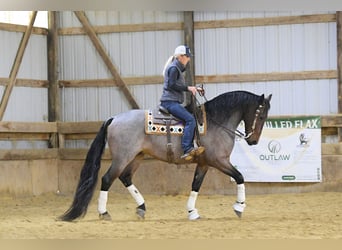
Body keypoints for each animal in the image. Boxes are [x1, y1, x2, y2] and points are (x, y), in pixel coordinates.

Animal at [59, 90, 272, 221]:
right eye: (261, 116)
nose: (253, 141)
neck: (215, 122)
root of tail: (114, 118)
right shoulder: (218, 161)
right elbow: (240, 177)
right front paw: (239, 207)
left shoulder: (204, 163)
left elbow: (195, 185)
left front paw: (192, 212)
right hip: (122, 158)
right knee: (107, 179)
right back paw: (104, 213)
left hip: (136, 157)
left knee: (125, 177)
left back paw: (142, 207)